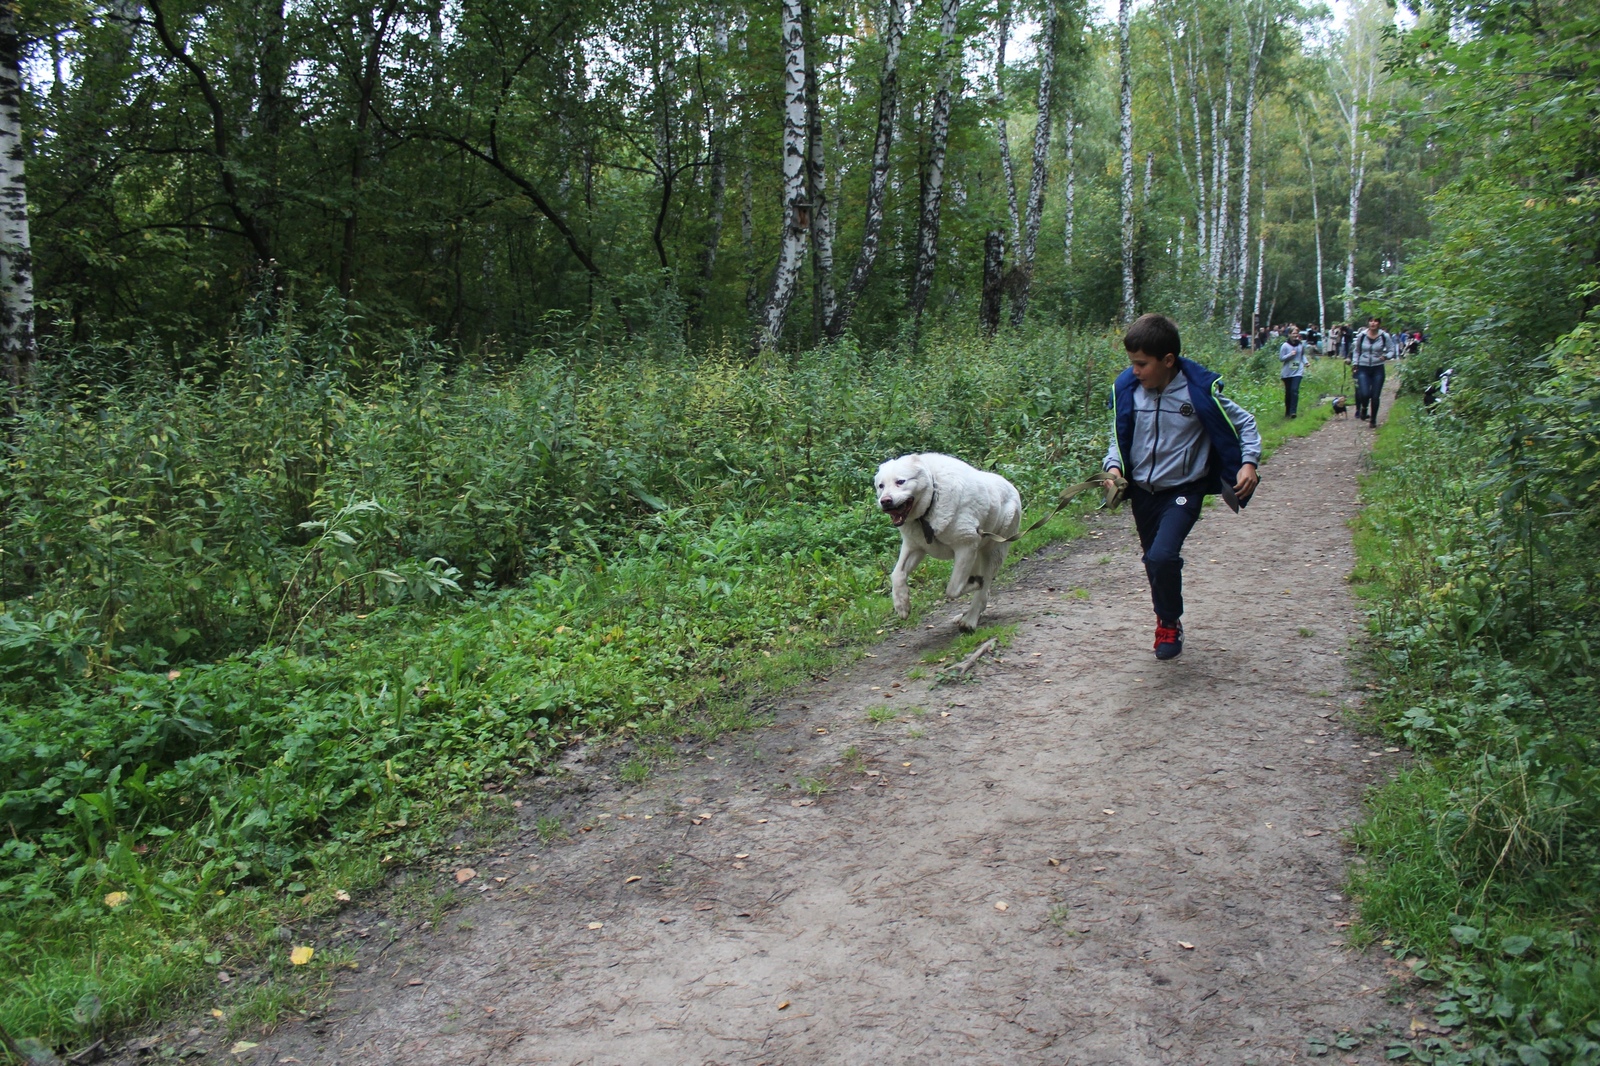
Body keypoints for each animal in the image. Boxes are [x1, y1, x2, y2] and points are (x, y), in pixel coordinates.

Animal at [876, 451, 1024, 630]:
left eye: (900, 481)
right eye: (881, 486)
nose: (885, 501)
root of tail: (1012, 487)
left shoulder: (966, 546)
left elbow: (952, 589)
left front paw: (974, 583)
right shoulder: (914, 547)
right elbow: (897, 574)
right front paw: (902, 605)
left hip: (993, 552)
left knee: (984, 588)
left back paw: (969, 620)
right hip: (976, 556)